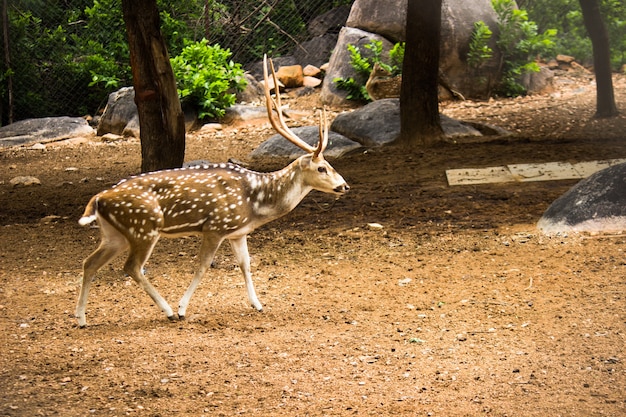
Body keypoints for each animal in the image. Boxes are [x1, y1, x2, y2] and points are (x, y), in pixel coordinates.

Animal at [75, 55, 348, 326]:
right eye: (322, 168)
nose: (344, 186)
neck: (255, 201)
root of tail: (98, 199)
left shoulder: (238, 232)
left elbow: (245, 265)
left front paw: (258, 304)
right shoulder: (215, 226)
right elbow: (203, 266)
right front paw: (183, 308)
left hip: (115, 234)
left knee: (89, 262)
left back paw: (81, 318)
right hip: (143, 228)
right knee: (131, 267)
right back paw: (168, 311)